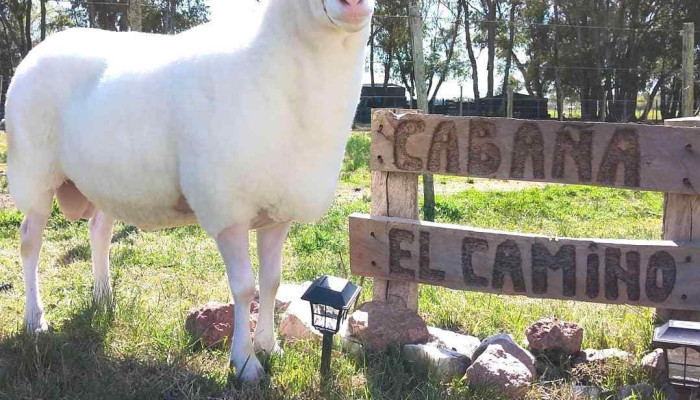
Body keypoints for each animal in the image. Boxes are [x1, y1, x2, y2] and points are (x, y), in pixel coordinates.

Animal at [5, 0, 374, 381]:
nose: (353, 5)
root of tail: (41, 48)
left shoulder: (277, 213)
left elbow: (271, 282)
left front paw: (270, 346)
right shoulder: (227, 211)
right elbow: (245, 289)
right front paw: (245, 362)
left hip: (105, 182)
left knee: (99, 232)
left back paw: (104, 298)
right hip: (34, 174)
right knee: (29, 242)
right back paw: (35, 320)